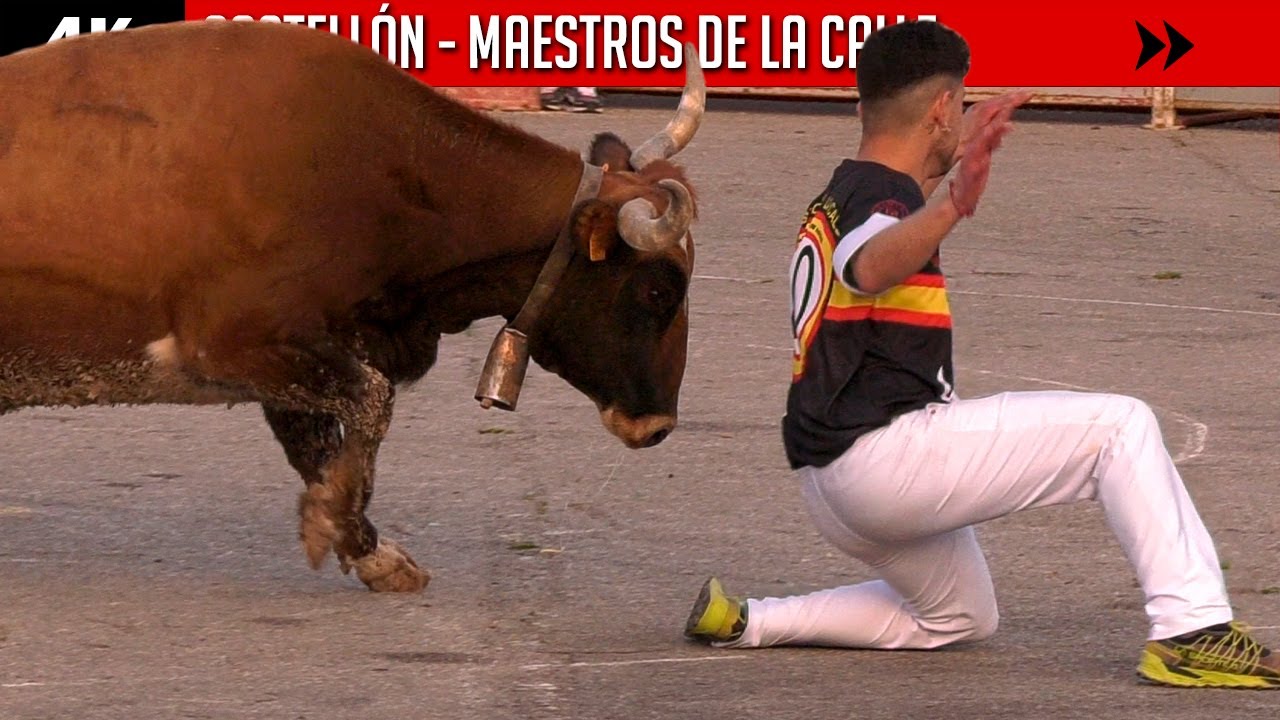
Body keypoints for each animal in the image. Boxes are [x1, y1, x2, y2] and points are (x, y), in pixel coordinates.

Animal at [0, 19, 704, 593]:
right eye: (657, 290)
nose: (656, 425)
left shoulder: (298, 361)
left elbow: (322, 441)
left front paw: (369, 550)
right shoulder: (232, 344)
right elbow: (370, 401)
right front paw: (338, 527)